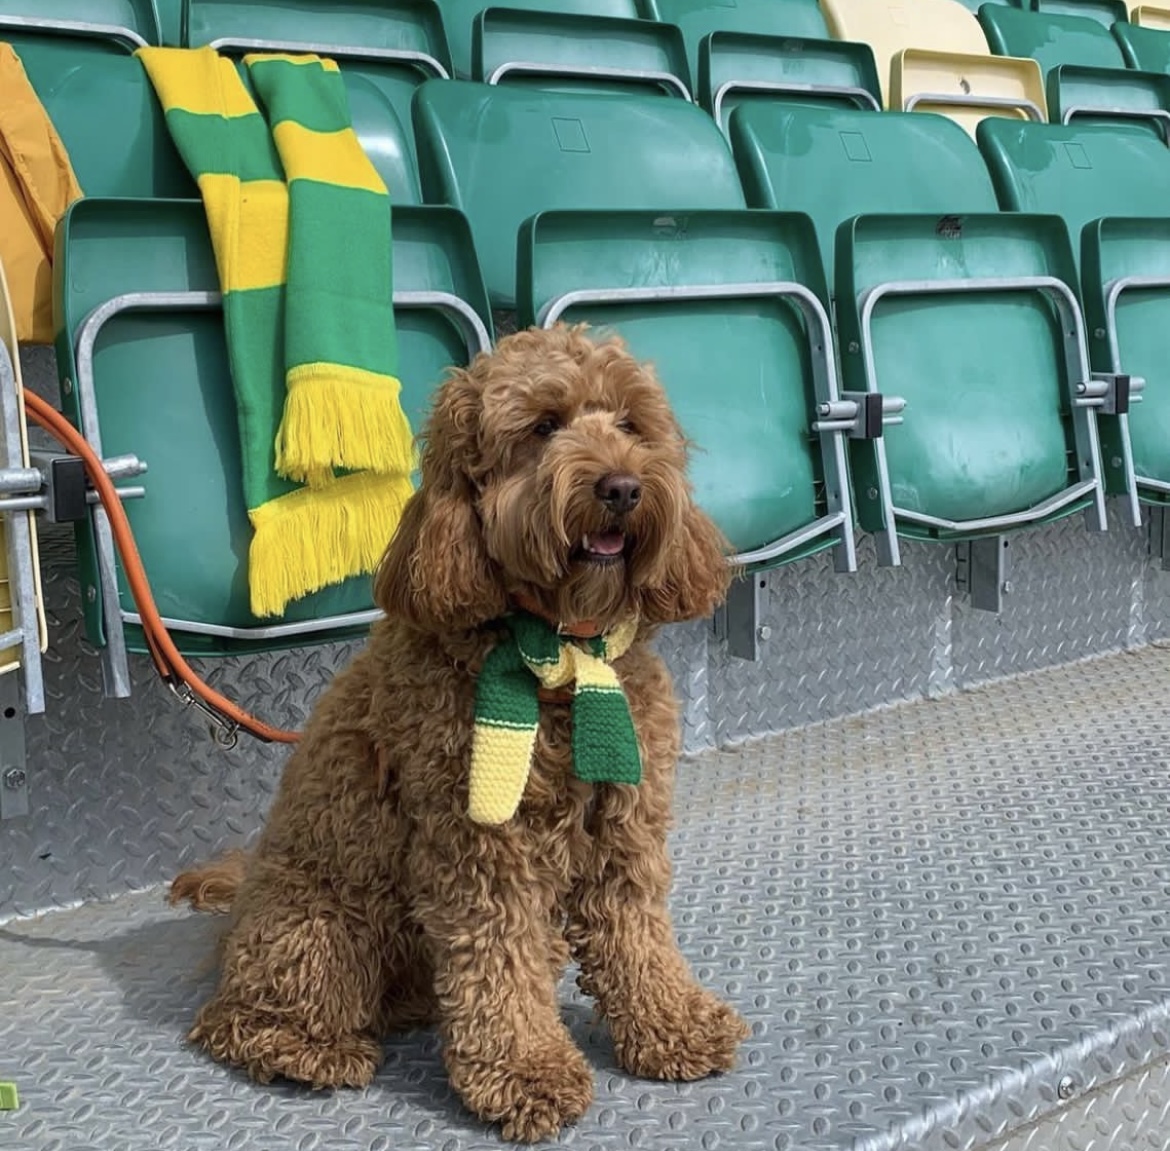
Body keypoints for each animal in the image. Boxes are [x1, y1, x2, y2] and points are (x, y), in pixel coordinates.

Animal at [169, 322, 748, 1141]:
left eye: (632, 425)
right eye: (542, 427)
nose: (622, 487)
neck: (560, 653)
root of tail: (241, 905)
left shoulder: (625, 824)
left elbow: (637, 934)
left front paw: (674, 1025)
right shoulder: (479, 846)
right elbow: (497, 963)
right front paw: (525, 1072)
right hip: (321, 928)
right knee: (236, 1018)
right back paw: (308, 1052)